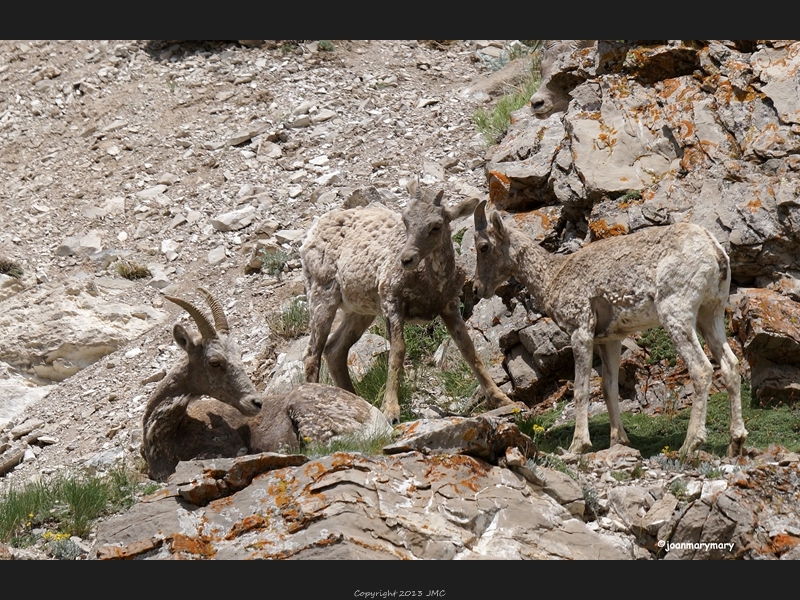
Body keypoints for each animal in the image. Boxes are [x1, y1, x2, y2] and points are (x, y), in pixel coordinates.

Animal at [145, 288, 396, 482]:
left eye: (240, 355)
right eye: (214, 362)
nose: (256, 402)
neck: (168, 434)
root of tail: (376, 419)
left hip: (305, 410)